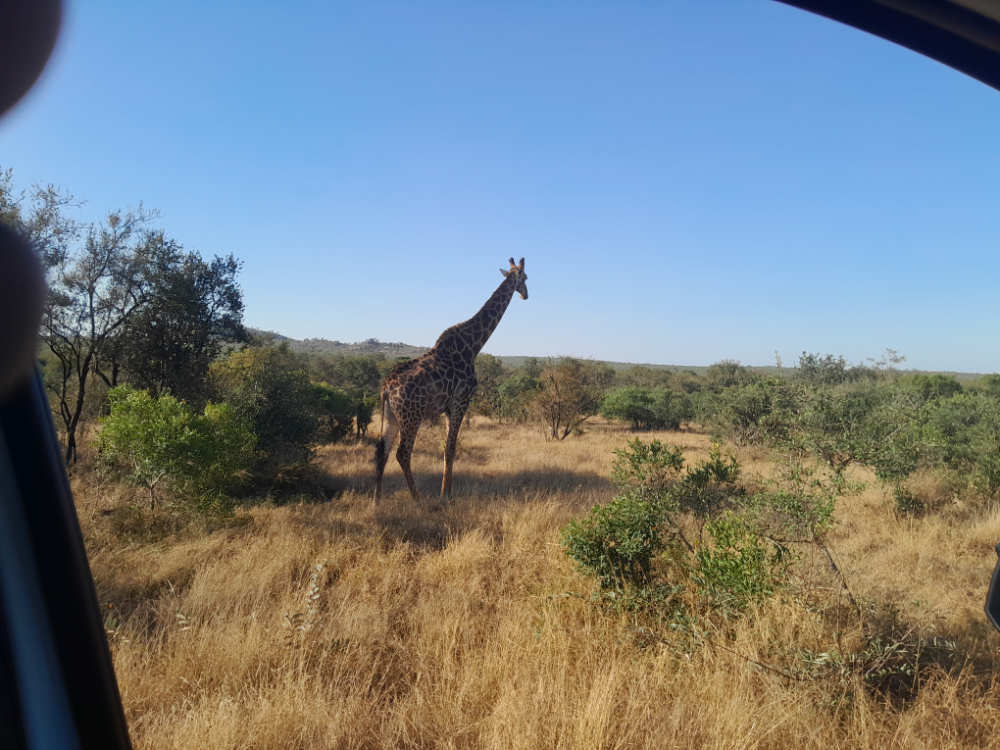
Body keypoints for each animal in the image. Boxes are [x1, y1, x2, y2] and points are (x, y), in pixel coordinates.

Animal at [374, 257, 528, 503]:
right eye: (525, 278)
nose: (525, 295)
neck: (473, 346)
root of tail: (386, 388)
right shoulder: (461, 401)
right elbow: (451, 448)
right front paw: (446, 495)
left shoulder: (448, 408)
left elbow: (447, 447)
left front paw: (445, 492)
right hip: (412, 415)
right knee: (402, 453)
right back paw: (417, 500)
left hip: (391, 416)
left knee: (382, 451)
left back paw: (377, 501)